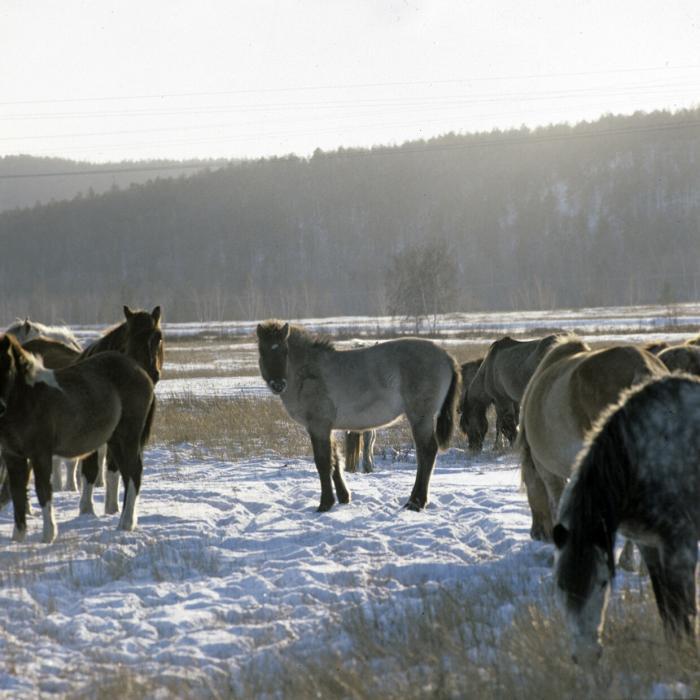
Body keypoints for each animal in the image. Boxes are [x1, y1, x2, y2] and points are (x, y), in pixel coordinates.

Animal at [0, 334, 154, 540]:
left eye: (8, 367)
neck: (26, 400)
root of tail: (140, 370)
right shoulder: (13, 456)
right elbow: (17, 492)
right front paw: (18, 538)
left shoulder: (40, 454)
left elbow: (43, 490)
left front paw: (48, 535)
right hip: (115, 440)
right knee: (127, 474)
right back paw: (123, 522)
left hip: (128, 435)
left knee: (134, 472)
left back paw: (127, 523)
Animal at [258, 320, 460, 512]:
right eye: (262, 351)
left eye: (284, 351)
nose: (278, 384)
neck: (308, 372)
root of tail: (446, 356)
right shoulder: (328, 428)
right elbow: (335, 460)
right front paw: (343, 497)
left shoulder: (318, 426)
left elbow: (323, 462)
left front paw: (325, 504)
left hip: (421, 417)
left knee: (426, 452)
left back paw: (416, 502)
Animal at [552, 378, 700, 668]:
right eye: (561, 585)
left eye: (602, 582)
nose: (586, 655)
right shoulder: (649, 546)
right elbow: (667, 610)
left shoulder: (680, 547)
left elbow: (681, 610)